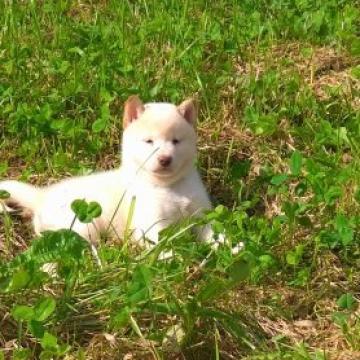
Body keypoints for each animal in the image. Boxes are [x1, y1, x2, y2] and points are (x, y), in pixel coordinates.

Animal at [0, 95, 214, 248]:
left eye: (176, 141)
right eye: (149, 141)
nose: (165, 159)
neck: (169, 186)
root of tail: (42, 196)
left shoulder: (202, 214)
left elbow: (215, 233)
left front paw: (223, 252)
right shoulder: (151, 224)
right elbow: (162, 247)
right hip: (82, 227)